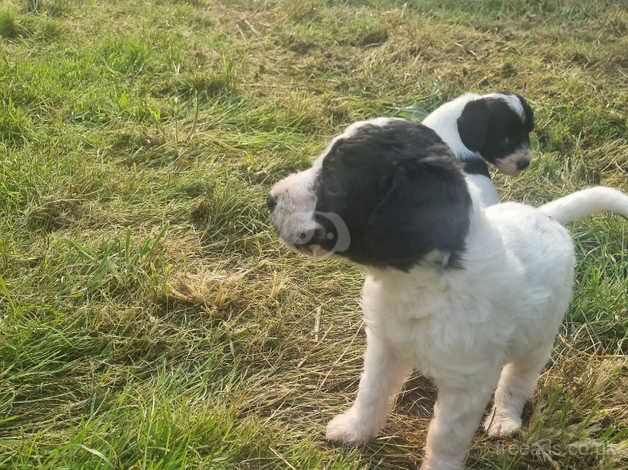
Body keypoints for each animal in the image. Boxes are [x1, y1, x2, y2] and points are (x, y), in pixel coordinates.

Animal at [266, 119, 628, 468]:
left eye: (334, 182)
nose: (270, 199)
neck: (418, 283)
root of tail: (543, 215)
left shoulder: (466, 383)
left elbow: (445, 436)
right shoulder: (385, 345)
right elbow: (370, 391)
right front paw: (354, 431)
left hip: (538, 338)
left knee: (518, 379)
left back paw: (504, 419)